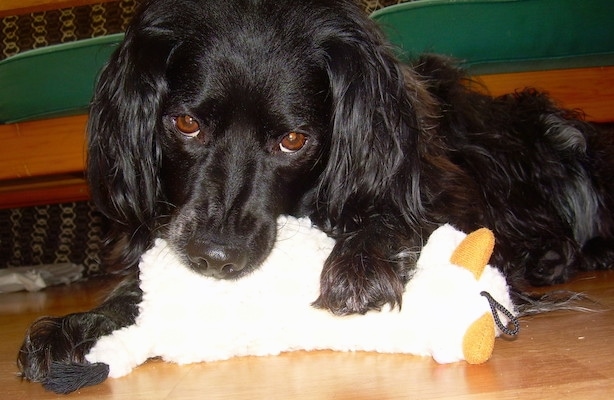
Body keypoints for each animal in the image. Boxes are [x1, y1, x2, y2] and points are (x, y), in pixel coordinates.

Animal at [16, 0, 612, 394]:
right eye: (185, 124)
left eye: (293, 140)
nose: (216, 258)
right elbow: (137, 289)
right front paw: (79, 325)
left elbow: (406, 219)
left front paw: (362, 260)